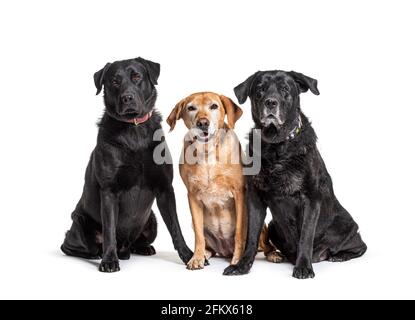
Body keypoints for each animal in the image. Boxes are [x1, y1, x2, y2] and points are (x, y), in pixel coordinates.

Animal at [60, 57, 193, 272]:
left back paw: (142, 248)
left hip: (152, 220)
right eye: (115, 81)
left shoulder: (165, 188)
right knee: (70, 246)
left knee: (137, 242)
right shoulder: (109, 191)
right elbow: (109, 230)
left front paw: (189, 255)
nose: (127, 98)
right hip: (79, 222)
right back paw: (97, 254)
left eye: (136, 76)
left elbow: (176, 227)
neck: (134, 129)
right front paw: (108, 260)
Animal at [167, 92, 282, 270]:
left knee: (265, 245)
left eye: (214, 106)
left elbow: (240, 232)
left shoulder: (240, 193)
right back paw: (205, 254)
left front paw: (238, 259)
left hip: (261, 227)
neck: (207, 152)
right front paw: (196, 257)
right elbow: (198, 235)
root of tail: (224, 251)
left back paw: (272, 254)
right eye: (191, 108)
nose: (203, 123)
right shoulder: (192, 196)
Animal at [224, 70, 368, 278]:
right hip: (274, 226)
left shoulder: (311, 199)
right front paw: (242, 265)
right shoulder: (255, 198)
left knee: (360, 245)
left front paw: (303, 267)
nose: (271, 102)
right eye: (260, 90)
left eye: (285, 89)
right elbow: (251, 236)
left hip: (346, 225)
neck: (276, 146)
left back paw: (339, 256)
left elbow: (306, 236)